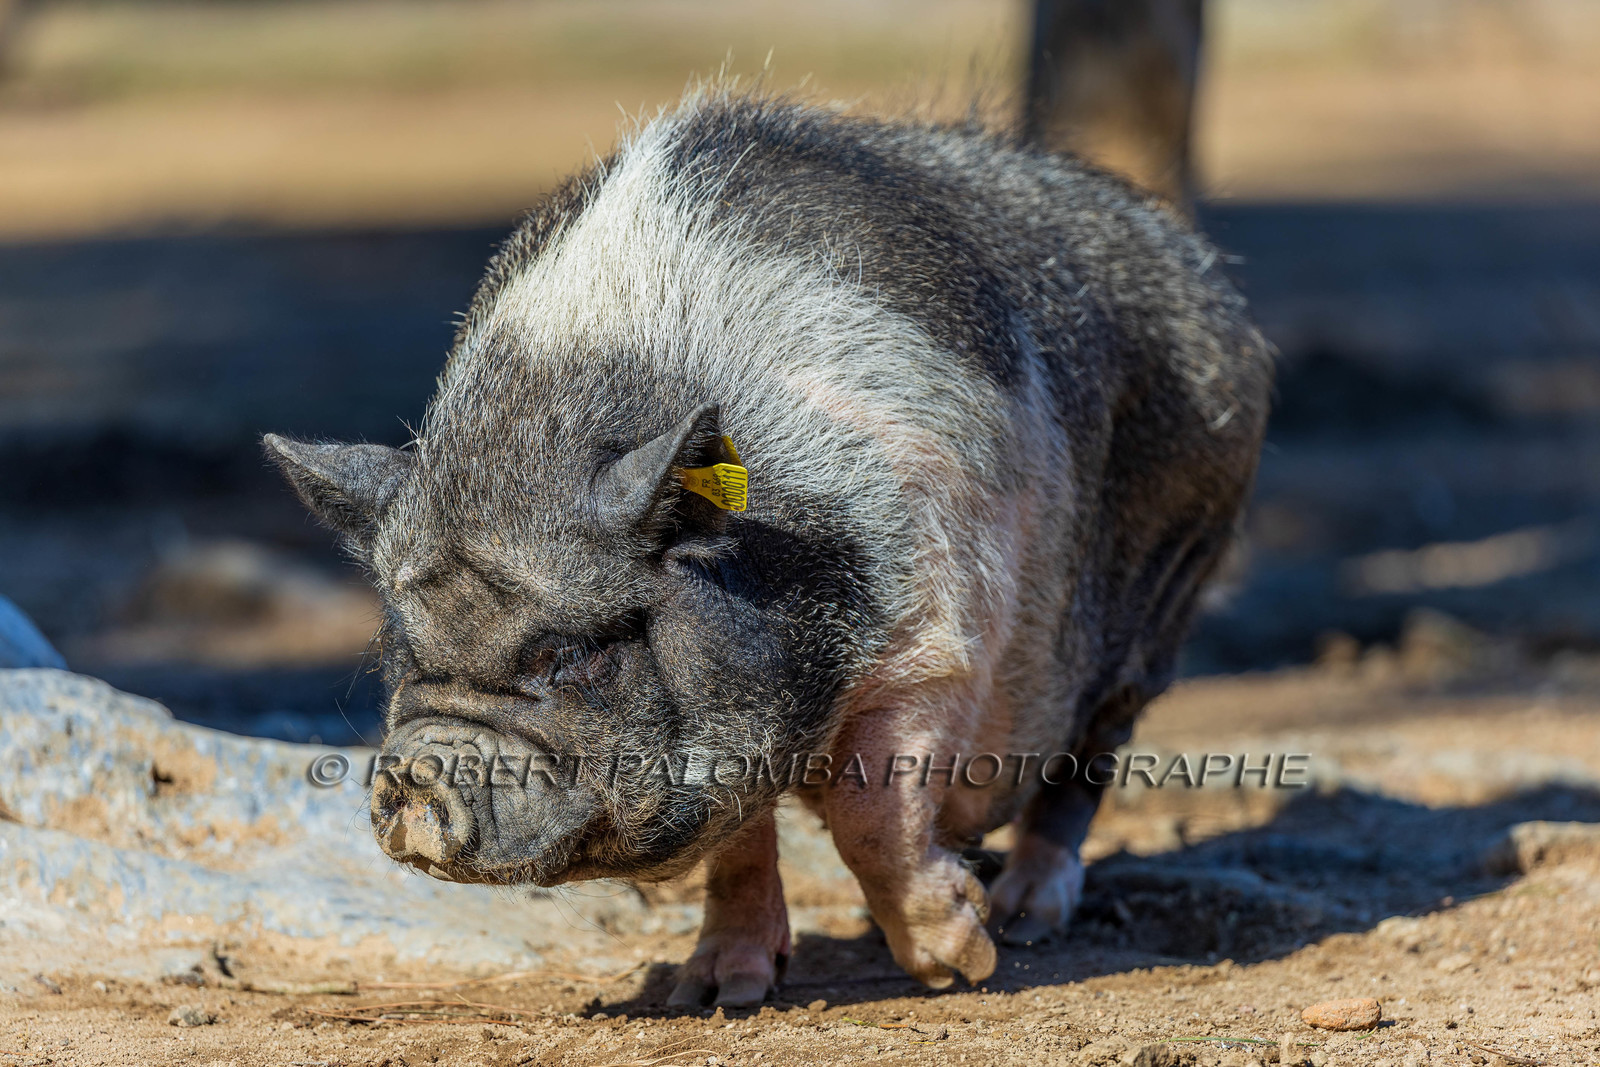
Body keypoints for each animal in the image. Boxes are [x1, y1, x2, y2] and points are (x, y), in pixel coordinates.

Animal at [264, 90, 1271, 1007]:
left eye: (575, 652)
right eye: (398, 650)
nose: (414, 771)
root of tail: (1213, 291)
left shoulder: (934, 637)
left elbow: (872, 813)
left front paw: (960, 966)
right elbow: (740, 841)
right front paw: (717, 994)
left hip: (1171, 577)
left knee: (1090, 757)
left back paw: (1026, 916)